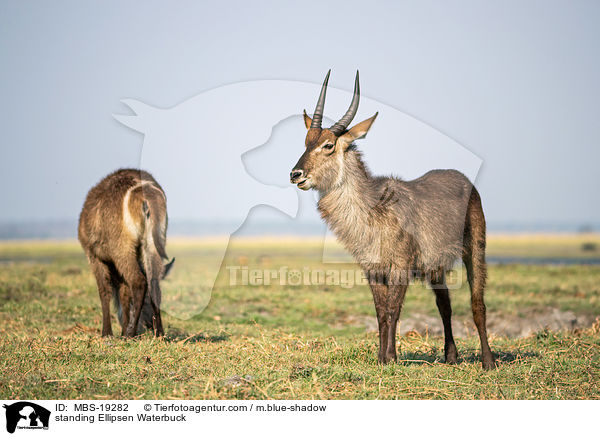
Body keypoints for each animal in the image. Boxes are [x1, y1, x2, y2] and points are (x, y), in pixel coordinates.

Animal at [78, 169, 173, 336]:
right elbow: (124, 293)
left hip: (122, 247)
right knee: (153, 283)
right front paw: (122, 329)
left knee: (138, 281)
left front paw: (107, 332)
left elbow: (104, 291)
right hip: (153, 242)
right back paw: (159, 333)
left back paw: (130, 333)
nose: (149, 325)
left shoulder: (94, 256)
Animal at [290, 70, 496, 368]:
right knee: (444, 303)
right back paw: (451, 356)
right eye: (306, 142)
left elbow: (393, 309)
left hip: (475, 249)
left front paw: (389, 357)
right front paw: (381, 357)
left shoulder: (400, 265)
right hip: (435, 267)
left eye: (328, 145)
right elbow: (380, 312)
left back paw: (488, 361)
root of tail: (464, 178)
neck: (371, 210)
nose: (296, 174)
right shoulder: (372, 268)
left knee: (477, 302)